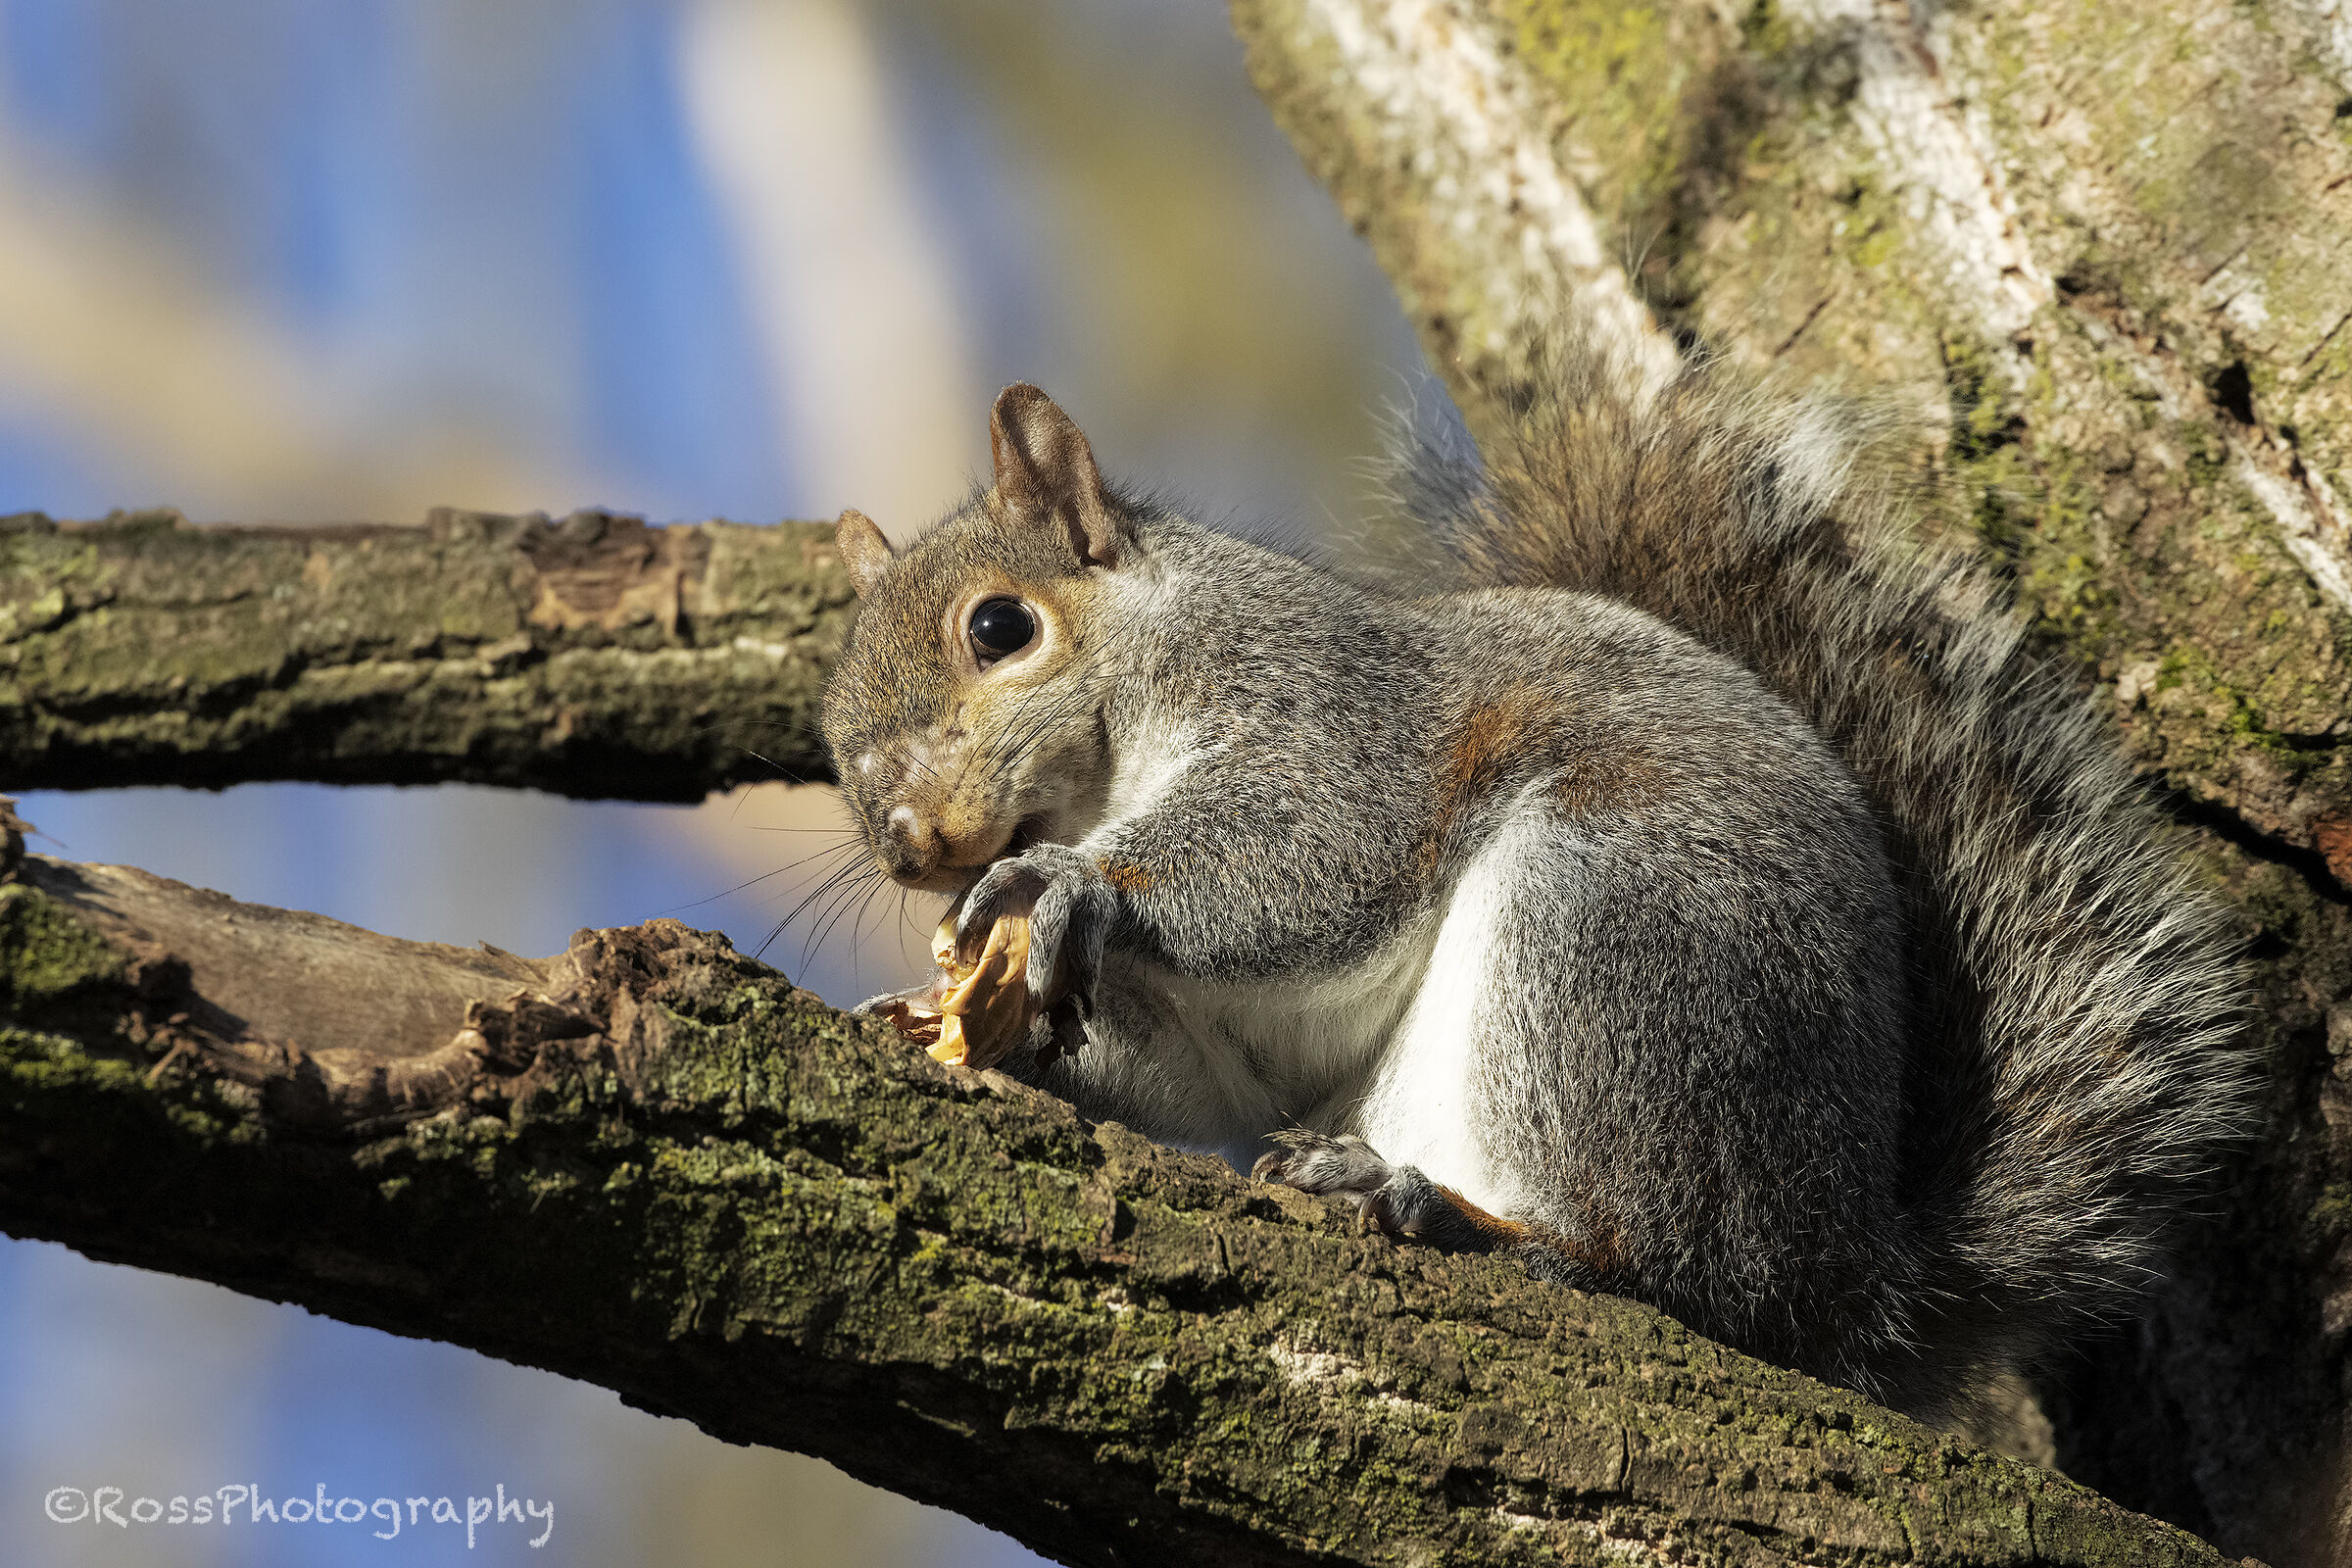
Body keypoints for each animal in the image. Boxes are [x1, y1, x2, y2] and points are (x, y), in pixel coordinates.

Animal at [817, 336, 2254, 1417]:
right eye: (833, 744)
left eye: (1001, 625)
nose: (908, 841)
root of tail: (1849, 1270)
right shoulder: (1215, 1031)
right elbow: (1204, 1077)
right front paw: (965, 1024)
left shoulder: (1339, 720)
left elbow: (1312, 851)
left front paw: (1067, 886)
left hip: (1613, 938)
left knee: (1659, 1271)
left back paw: (1457, 1219)